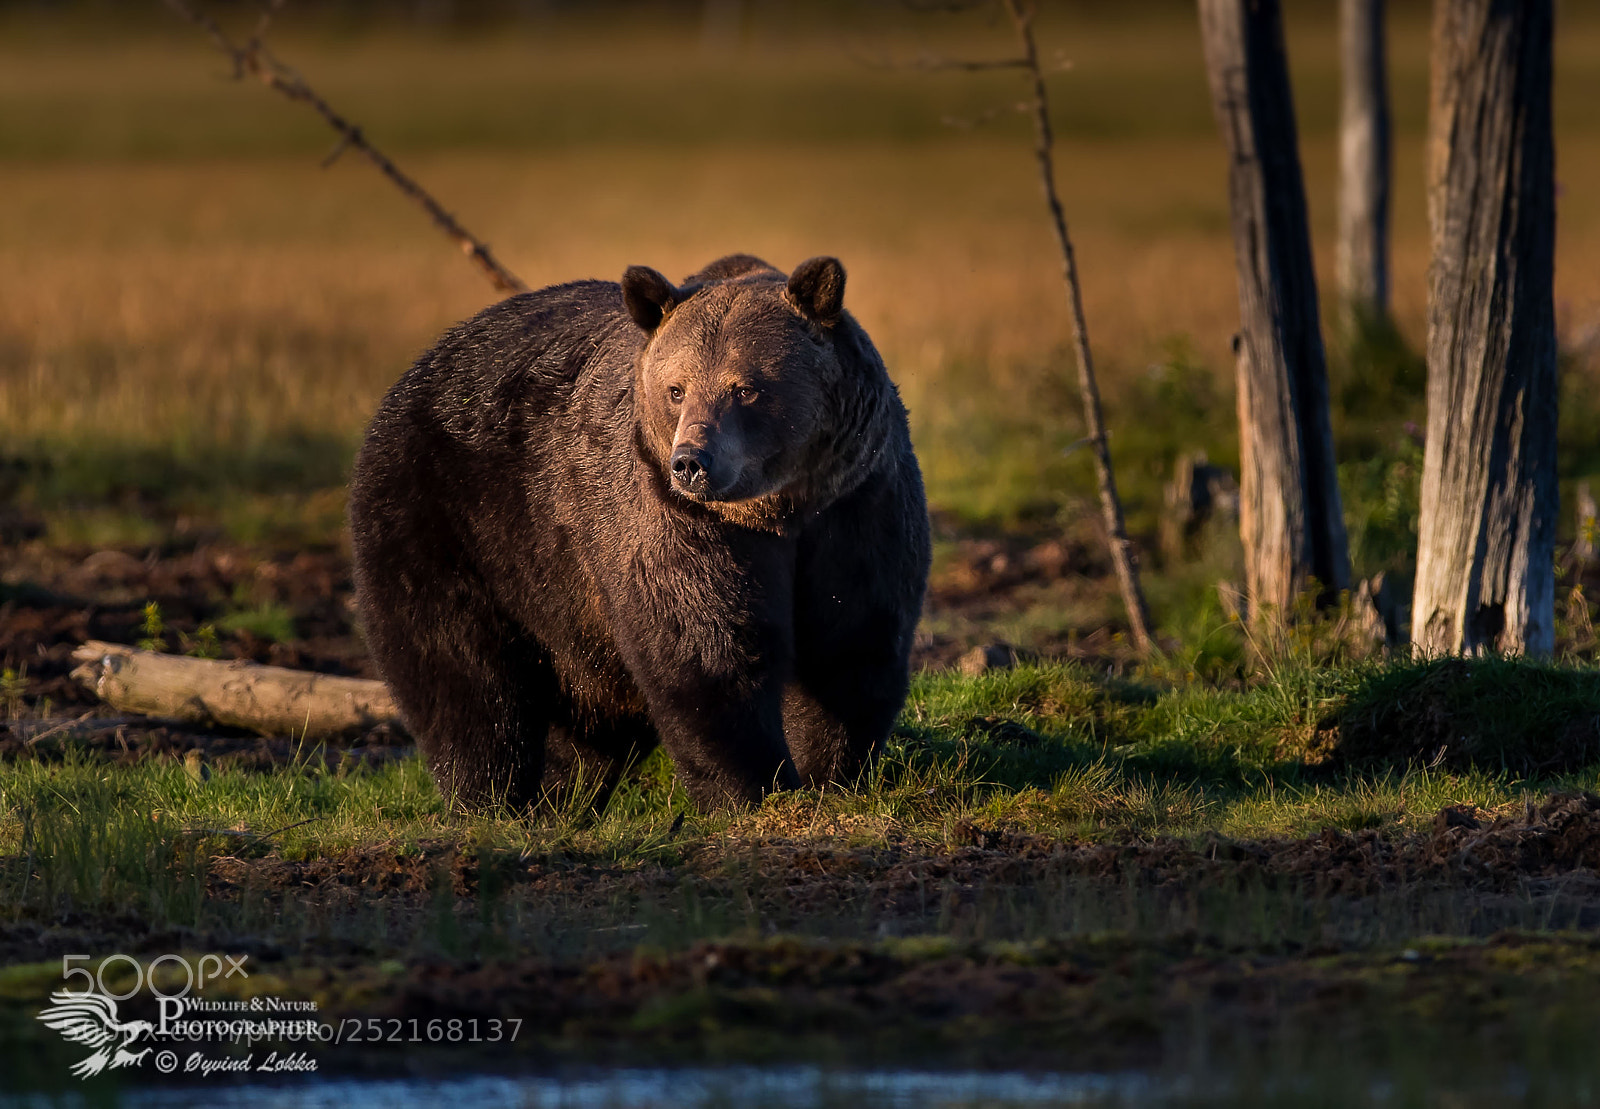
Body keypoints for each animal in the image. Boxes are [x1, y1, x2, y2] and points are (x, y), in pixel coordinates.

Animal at [347, 253, 931, 812]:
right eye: (676, 389)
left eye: (744, 388)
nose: (691, 462)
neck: (777, 510)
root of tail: (424, 362)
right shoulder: (672, 517)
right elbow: (704, 648)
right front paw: (754, 786)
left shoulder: (857, 500)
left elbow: (853, 638)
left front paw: (830, 771)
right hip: (451, 517)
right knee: (462, 675)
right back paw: (492, 796)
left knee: (589, 721)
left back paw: (566, 793)